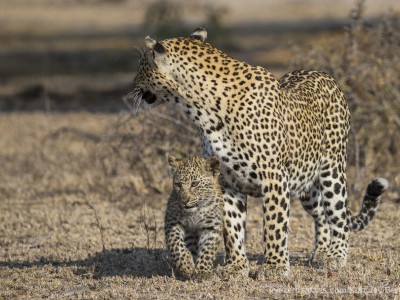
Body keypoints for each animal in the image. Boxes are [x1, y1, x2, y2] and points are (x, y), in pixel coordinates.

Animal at [130, 28, 390, 278]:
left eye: (141, 65)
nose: (132, 86)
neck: (203, 112)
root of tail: (322, 73)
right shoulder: (227, 181)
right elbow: (232, 228)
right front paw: (235, 266)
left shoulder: (274, 178)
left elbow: (274, 226)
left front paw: (275, 267)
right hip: (305, 184)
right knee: (322, 216)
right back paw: (320, 251)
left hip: (331, 171)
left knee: (339, 215)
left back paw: (335, 255)